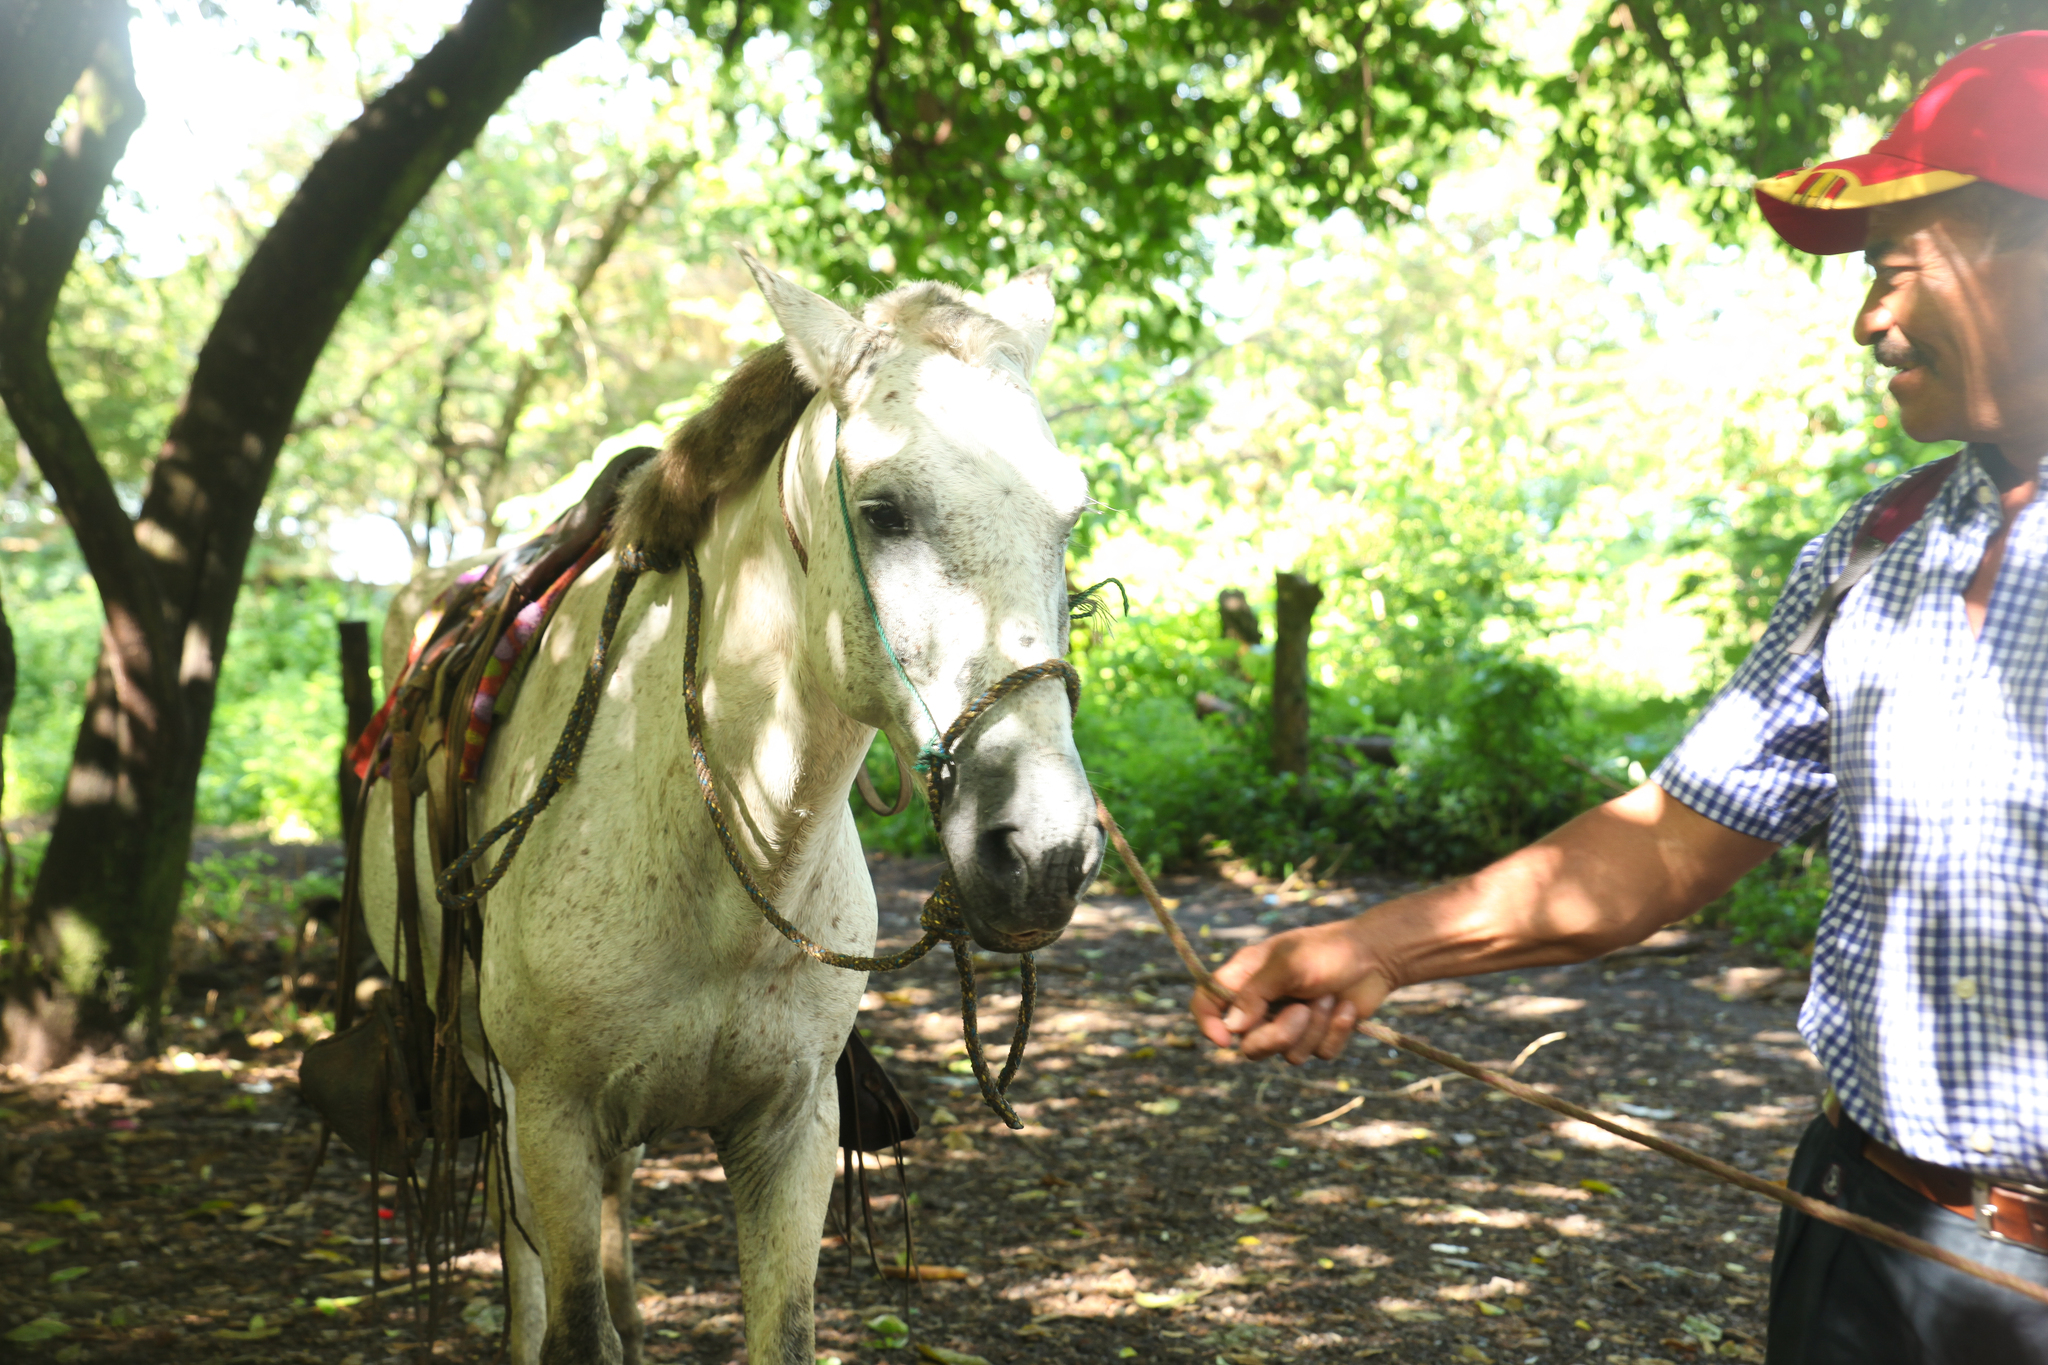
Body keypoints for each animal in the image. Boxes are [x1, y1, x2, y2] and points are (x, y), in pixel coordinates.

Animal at [360, 258, 1114, 1365]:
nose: (1046, 851)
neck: (726, 855)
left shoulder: (790, 1131)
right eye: (884, 510)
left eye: (1069, 516)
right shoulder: (551, 1115)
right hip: (491, 1078)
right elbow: (569, 1317)